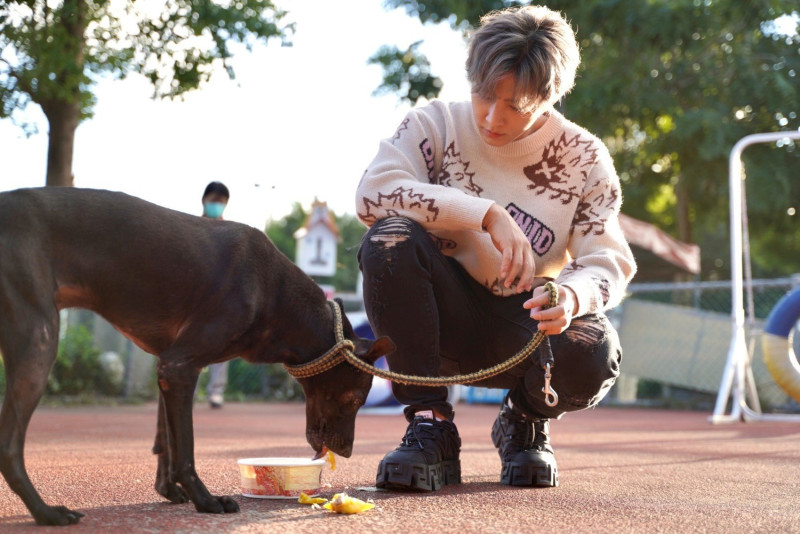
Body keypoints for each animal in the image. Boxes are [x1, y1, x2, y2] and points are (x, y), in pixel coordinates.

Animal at [0, 189, 390, 528]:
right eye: (354, 399)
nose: (349, 452)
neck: (274, 293)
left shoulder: (168, 367)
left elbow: (165, 442)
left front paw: (169, 490)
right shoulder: (179, 366)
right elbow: (185, 450)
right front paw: (206, 501)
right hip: (39, 342)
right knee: (9, 448)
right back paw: (45, 513)